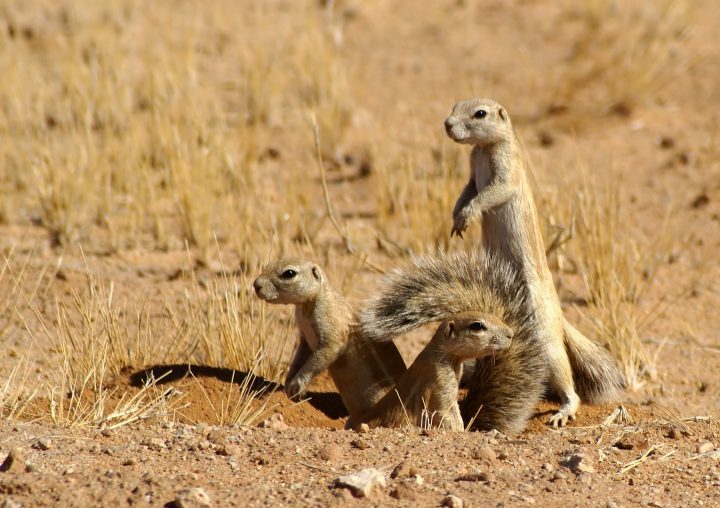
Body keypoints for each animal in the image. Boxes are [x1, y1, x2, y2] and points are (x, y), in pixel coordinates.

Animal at [253, 260, 408, 418]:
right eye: (268, 264)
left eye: (289, 273)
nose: (256, 285)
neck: (306, 307)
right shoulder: (305, 339)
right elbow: (299, 358)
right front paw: (288, 380)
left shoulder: (330, 325)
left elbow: (327, 350)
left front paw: (297, 385)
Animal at [444, 98, 624, 424]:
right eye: (455, 106)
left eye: (480, 113)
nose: (447, 125)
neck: (484, 149)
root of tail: (560, 318)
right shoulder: (471, 173)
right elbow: (467, 190)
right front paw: (456, 218)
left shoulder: (506, 170)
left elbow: (490, 193)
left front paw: (468, 214)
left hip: (547, 343)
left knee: (568, 381)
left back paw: (564, 411)